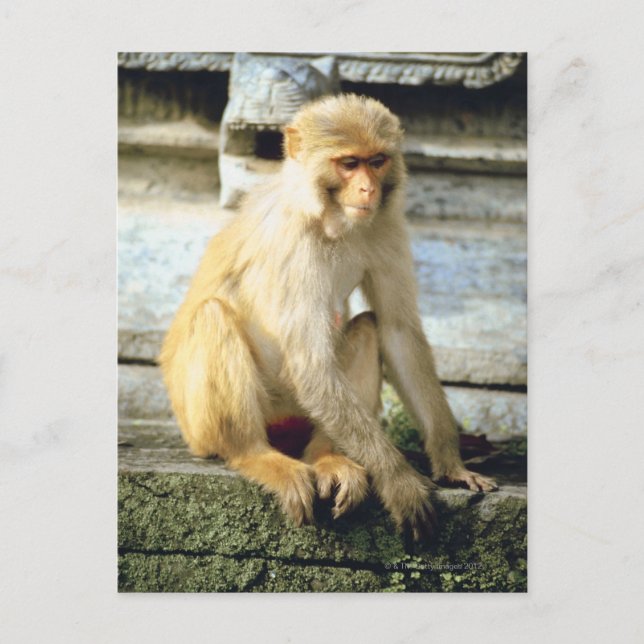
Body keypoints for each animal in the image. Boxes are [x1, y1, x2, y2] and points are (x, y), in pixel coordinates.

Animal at [159, 94, 496, 540]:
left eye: (377, 161)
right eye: (349, 163)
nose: (368, 188)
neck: (326, 217)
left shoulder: (385, 224)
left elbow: (398, 330)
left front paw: (450, 463)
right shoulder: (295, 243)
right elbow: (311, 365)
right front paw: (399, 481)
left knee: (369, 328)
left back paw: (326, 457)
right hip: (202, 427)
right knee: (213, 316)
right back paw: (256, 456)